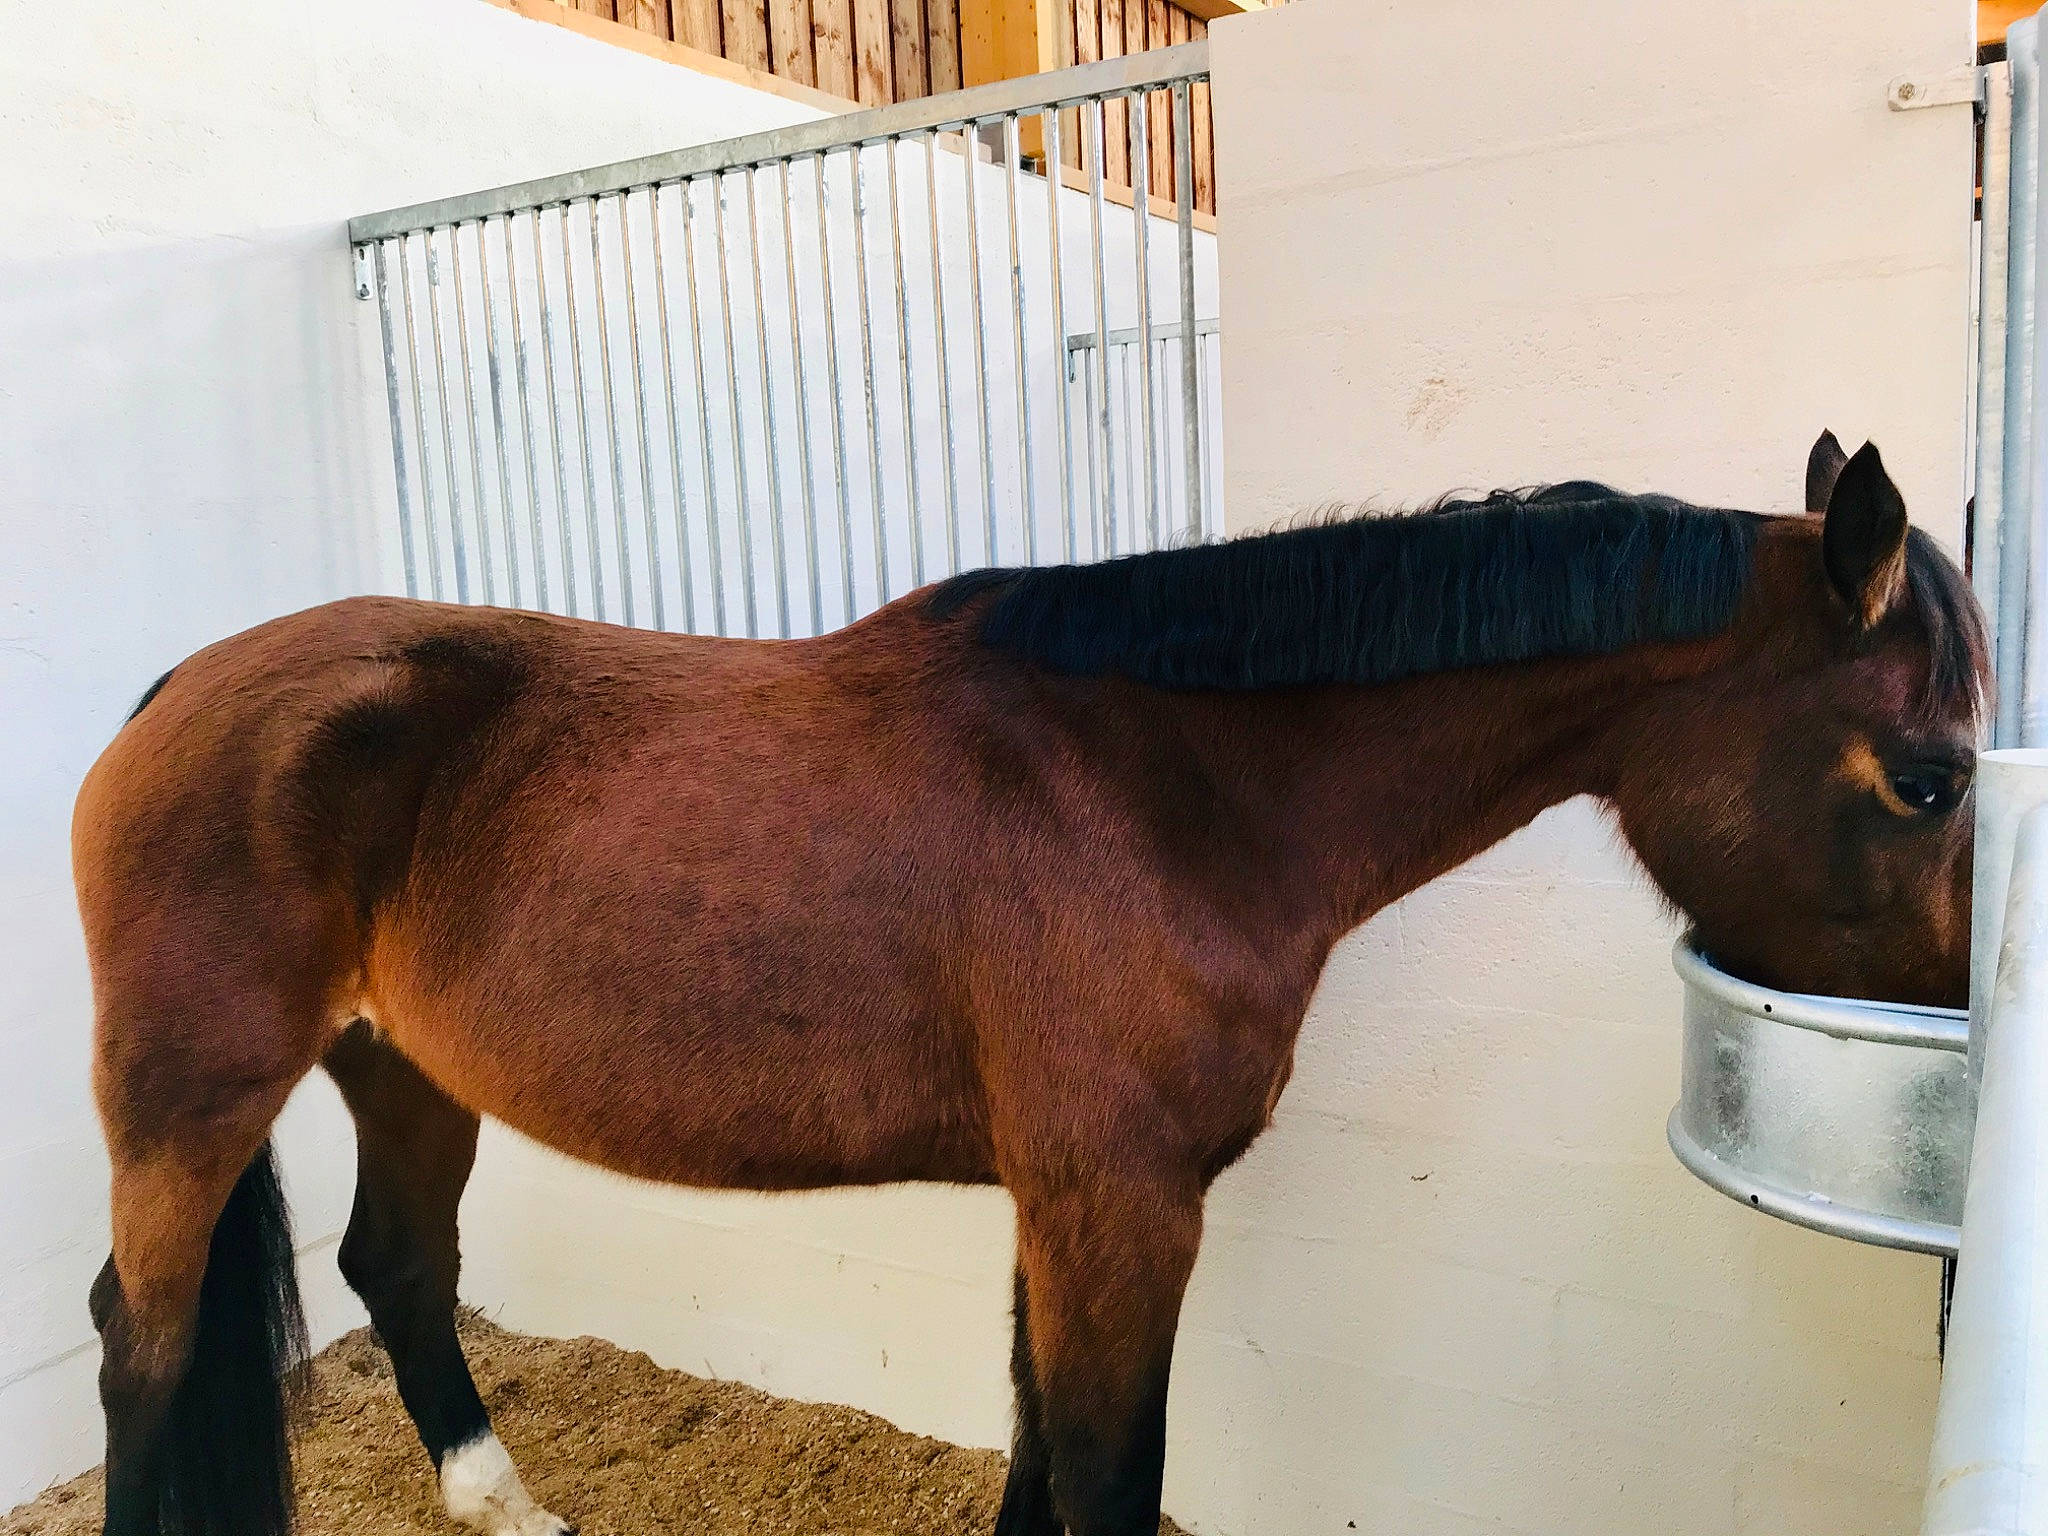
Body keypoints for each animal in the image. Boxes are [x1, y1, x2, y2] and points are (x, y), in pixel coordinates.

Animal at [74, 431, 1985, 1536]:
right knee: (141, 1347)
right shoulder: (1122, 1205)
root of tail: (176, 688)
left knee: (394, 1267)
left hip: (403, 1068)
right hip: (188, 1100)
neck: (1170, 779)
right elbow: (1107, 1473)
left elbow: (1036, 1449)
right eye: (1927, 779)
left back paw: (498, 1501)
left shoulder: (1058, 1201)